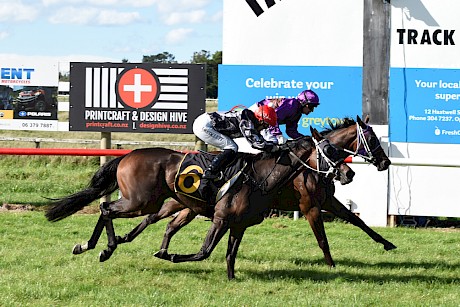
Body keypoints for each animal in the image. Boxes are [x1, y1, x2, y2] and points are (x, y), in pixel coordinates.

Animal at [45, 126, 352, 280]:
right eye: (329, 149)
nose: (349, 173)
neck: (260, 178)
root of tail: (127, 155)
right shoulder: (220, 218)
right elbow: (204, 252)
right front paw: (169, 255)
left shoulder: (239, 224)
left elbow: (230, 255)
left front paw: (231, 279)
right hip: (139, 202)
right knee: (106, 209)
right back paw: (102, 248)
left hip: (152, 203)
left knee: (113, 211)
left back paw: (92, 246)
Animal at [115, 115, 396, 270]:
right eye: (373, 140)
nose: (385, 162)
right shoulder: (310, 206)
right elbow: (322, 239)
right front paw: (331, 265)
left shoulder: (328, 200)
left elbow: (357, 221)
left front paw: (388, 243)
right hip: (175, 202)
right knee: (153, 217)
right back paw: (125, 240)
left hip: (188, 206)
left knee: (166, 223)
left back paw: (144, 245)